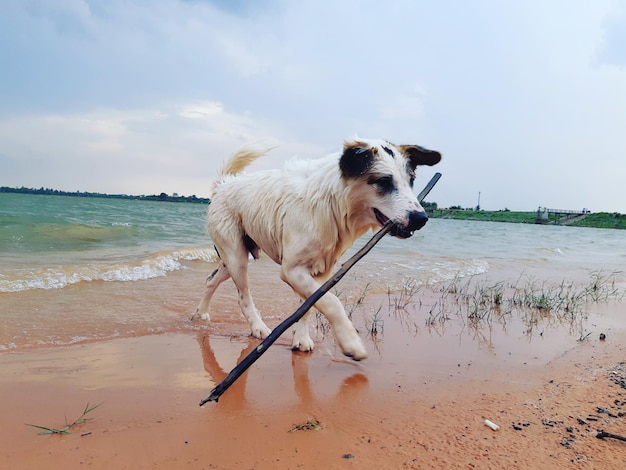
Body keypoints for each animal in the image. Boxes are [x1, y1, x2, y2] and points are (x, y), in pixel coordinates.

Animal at [195, 139, 438, 360]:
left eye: (411, 180)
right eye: (383, 181)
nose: (421, 218)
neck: (332, 204)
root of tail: (223, 185)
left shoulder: (321, 271)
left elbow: (310, 305)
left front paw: (301, 339)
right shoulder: (292, 270)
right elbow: (332, 302)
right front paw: (351, 343)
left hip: (231, 260)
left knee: (210, 280)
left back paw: (202, 313)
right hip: (236, 256)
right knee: (243, 296)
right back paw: (258, 327)